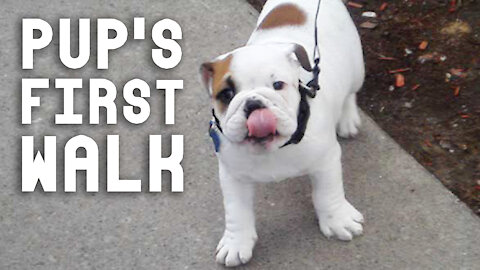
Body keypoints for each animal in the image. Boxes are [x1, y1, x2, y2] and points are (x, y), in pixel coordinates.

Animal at [199, 0, 364, 266]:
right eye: (226, 94)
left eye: (278, 85)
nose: (253, 103)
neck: (275, 148)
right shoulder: (233, 175)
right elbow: (236, 211)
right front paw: (237, 242)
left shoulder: (326, 161)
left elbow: (328, 193)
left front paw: (338, 220)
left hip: (357, 68)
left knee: (350, 92)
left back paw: (348, 119)